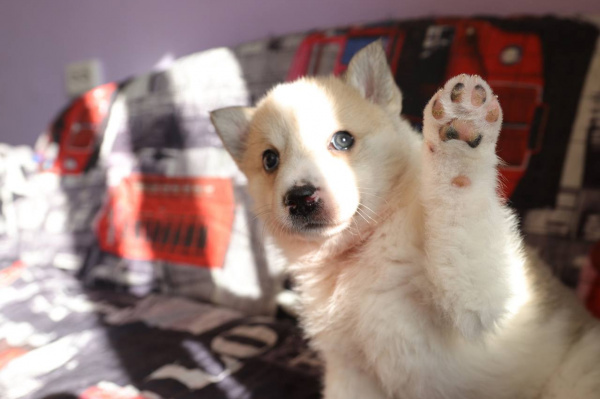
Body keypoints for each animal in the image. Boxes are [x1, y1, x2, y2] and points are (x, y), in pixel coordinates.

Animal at [211, 42, 600, 398]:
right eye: (270, 160)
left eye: (342, 140)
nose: (300, 197)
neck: (358, 253)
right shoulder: (352, 371)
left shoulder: (487, 304)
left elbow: (460, 211)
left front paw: (461, 130)